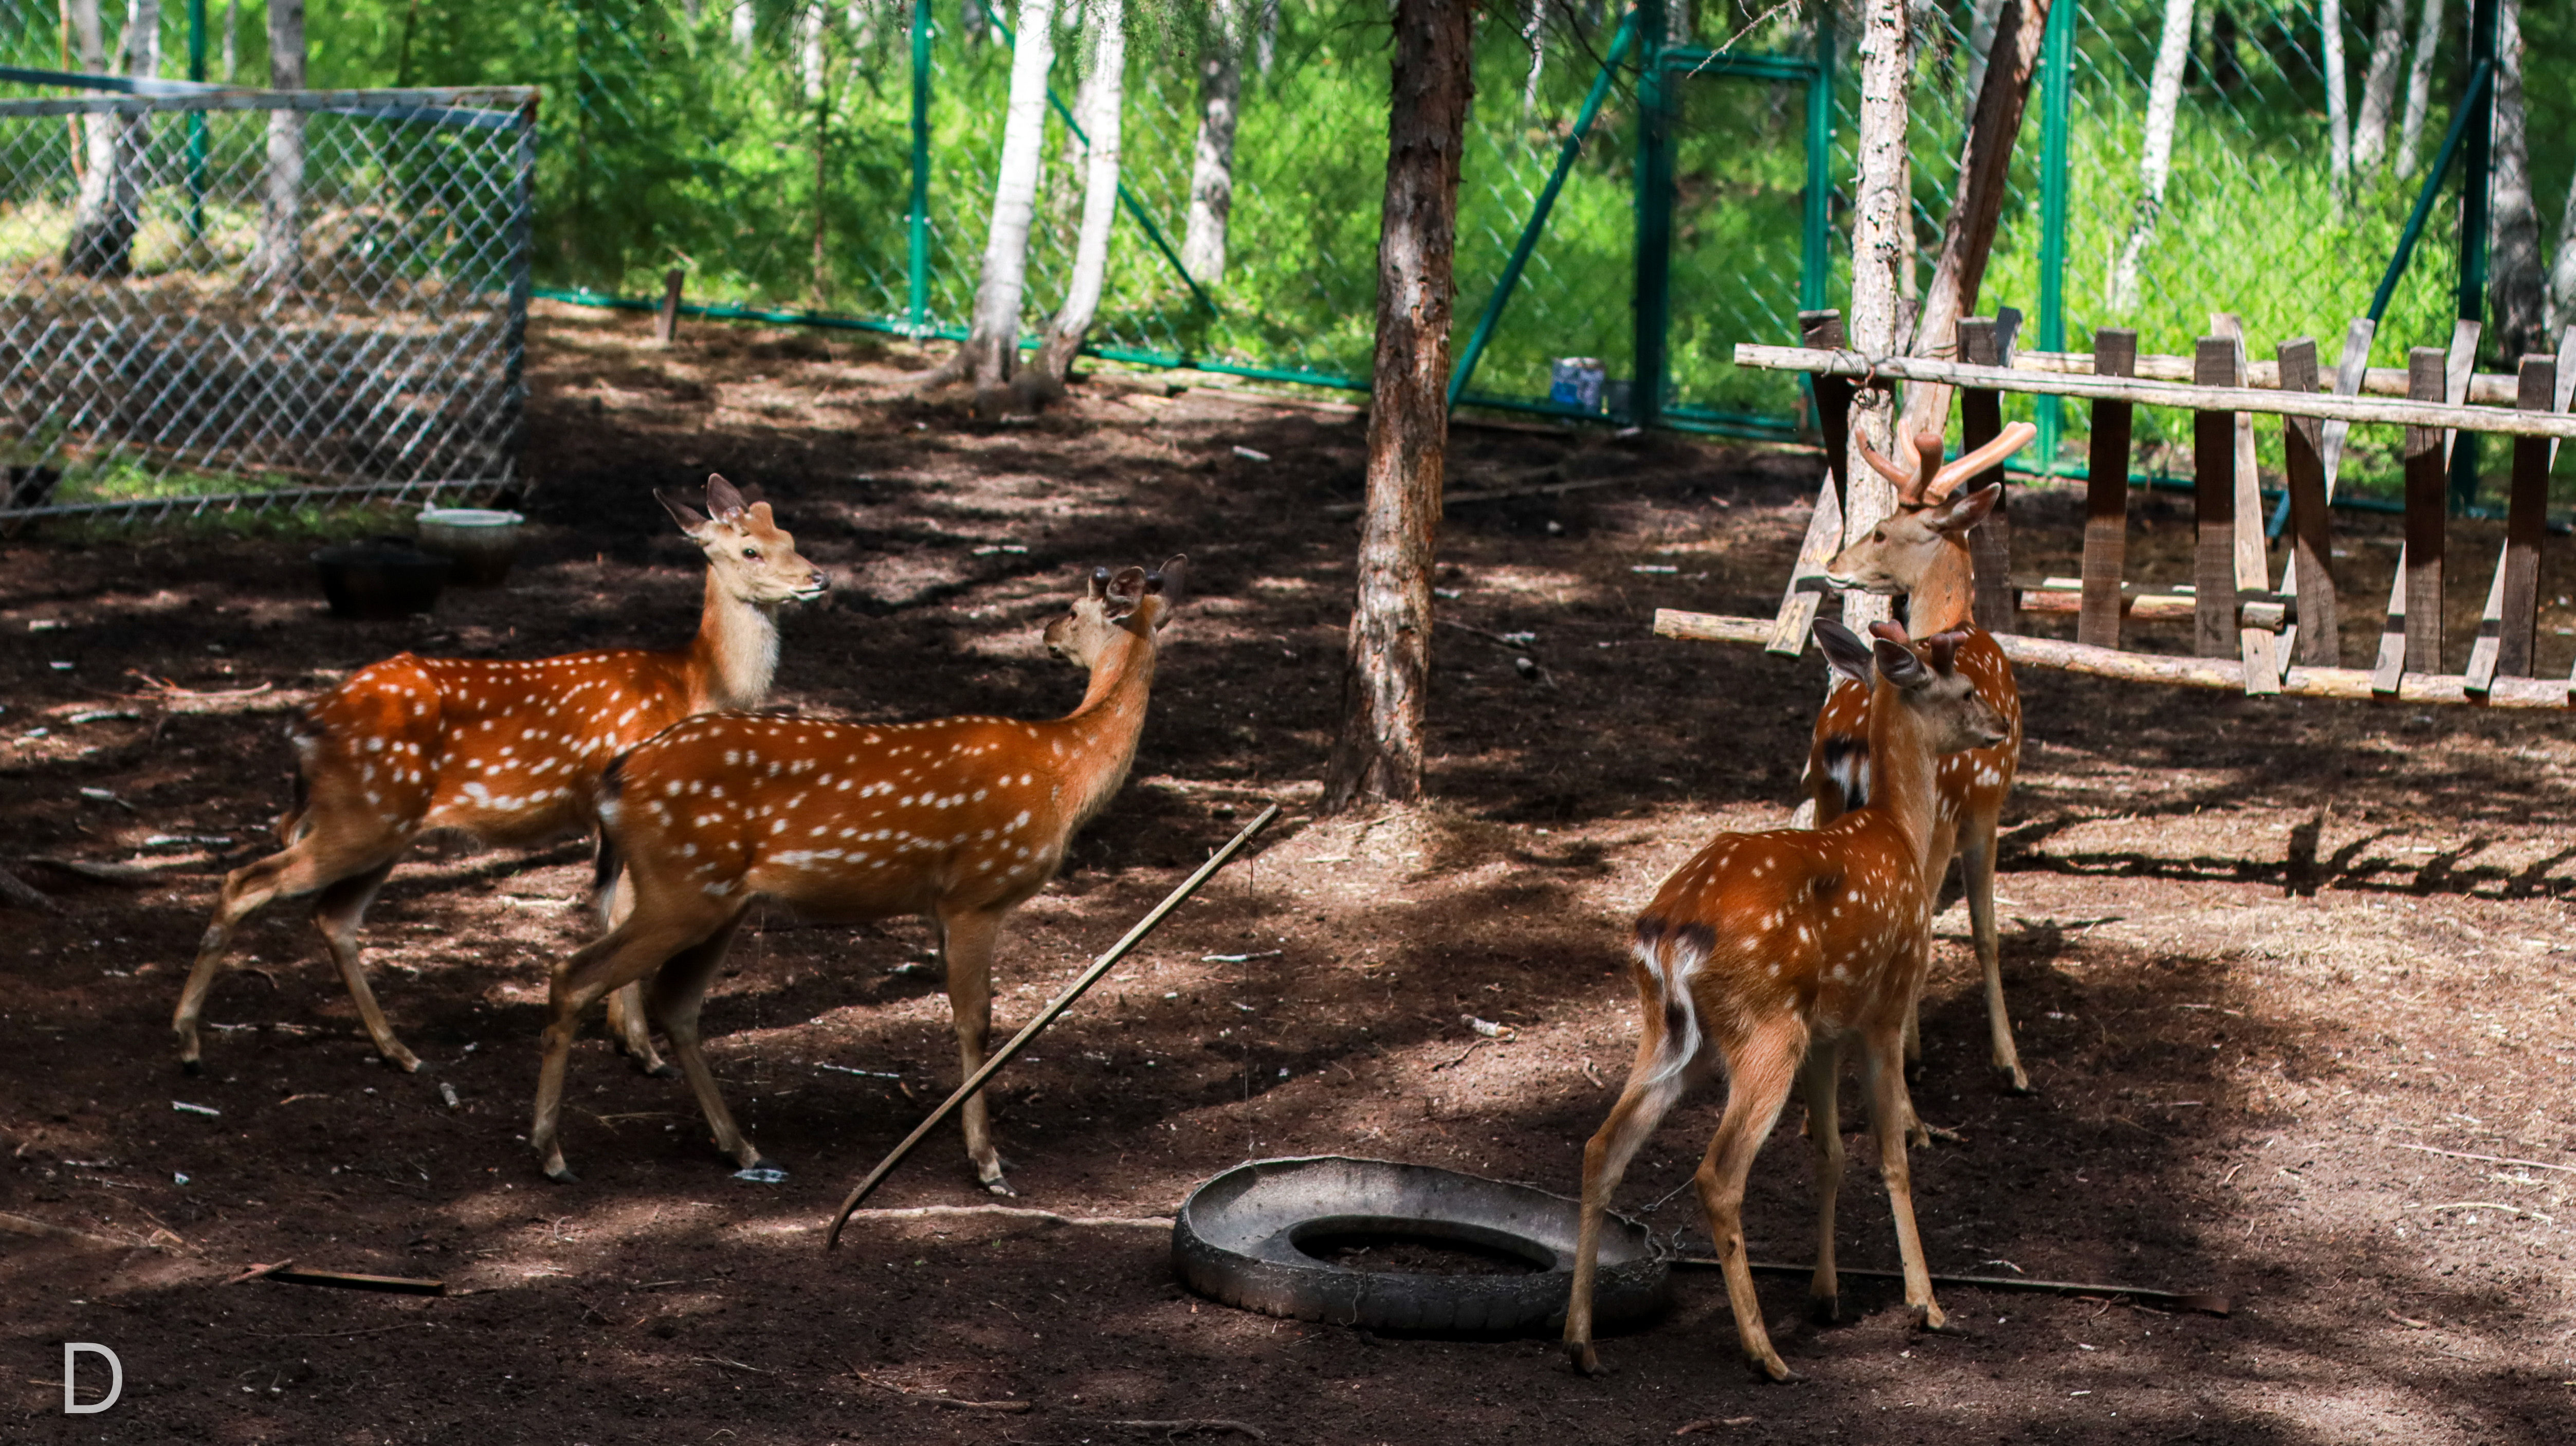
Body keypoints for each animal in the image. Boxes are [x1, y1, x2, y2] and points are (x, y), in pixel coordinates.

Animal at [174, 479, 824, 1077]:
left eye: (788, 535)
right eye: (750, 551)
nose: (818, 577)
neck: (694, 683)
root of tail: (306, 723)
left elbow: (609, 908)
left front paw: (623, 1037)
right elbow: (620, 911)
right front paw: (641, 1049)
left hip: (380, 820)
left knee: (334, 917)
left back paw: (400, 1051)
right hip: (363, 812)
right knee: (246, 883)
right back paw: (188, 1041)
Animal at [523, 552, 1185, 1185]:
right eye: (1074, 607)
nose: (1046, 631)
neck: (1063, 773)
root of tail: (617, 777)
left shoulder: (941, 905)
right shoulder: (978, 892)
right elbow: (976, 1021)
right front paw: (986, 1162)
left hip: (717, 899)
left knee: (676, 1003)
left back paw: (741, 1147)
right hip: (679, 886)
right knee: (573, 976)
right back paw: (551, 1154)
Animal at [1566, 618, 2009, 1371]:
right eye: (1964, 689)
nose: (2000, 725)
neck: (1898, 827)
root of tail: (1667, 935)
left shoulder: (1825, 1034)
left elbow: (1828, 1152)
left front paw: (1825, 1295)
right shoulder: (1883, 1007)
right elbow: (1890, 1155)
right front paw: (1925, 1302)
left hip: (1669, 1034)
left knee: (1602, 1146)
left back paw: (1579, 1343)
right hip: (1765, 1027)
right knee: (1717, 1174)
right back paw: (1763, 1353)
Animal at [1803, 420, 2040, 1093]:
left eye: (1882, 530)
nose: (1834, 564)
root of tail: (1849, 739)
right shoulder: (1983, 809)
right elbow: (1984, 932)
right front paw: (2010, 1061)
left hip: (1822, 796)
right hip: (1938, 814)